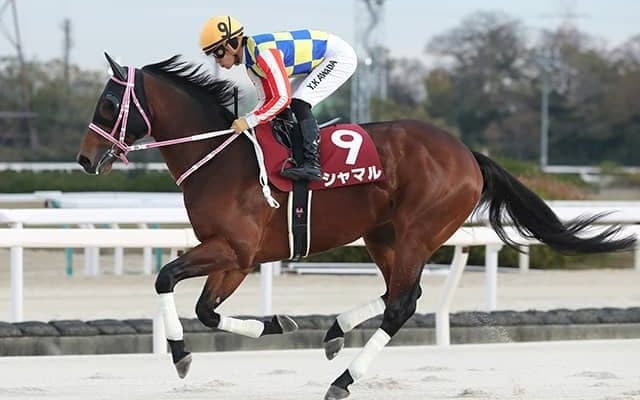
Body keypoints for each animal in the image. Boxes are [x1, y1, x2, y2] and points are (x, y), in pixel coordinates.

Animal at [77, 53, 636, 400]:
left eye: (108, 103)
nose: (83, 159)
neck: (219, 155)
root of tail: (467, 154)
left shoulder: (233, 249)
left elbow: (166, 279)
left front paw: (180, 355)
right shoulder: (236, 258)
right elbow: (206, 310)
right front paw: (277, 323)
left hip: (417, 231)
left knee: (402, 303)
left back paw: (344, 378)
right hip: (382, 234)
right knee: (399, 295)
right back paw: (334, 331)